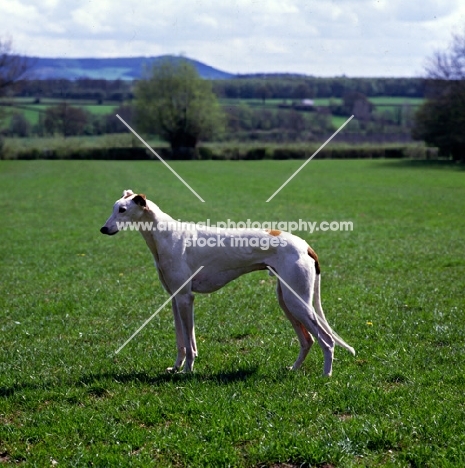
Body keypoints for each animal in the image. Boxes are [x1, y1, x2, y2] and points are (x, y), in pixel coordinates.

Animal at [100, 190, 356, 376]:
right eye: (113, 208)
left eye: (122, 210)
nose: (103, 229)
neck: (165, 235)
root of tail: (306, 245)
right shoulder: (174, 299)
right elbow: (181, 341)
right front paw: (175, 367)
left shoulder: (185, 298)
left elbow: (190, 344)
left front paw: (187, 371)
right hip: (287, 300)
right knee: (307, 340)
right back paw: (293, 369)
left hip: (298, 302)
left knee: (327, 340)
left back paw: (326, 376)